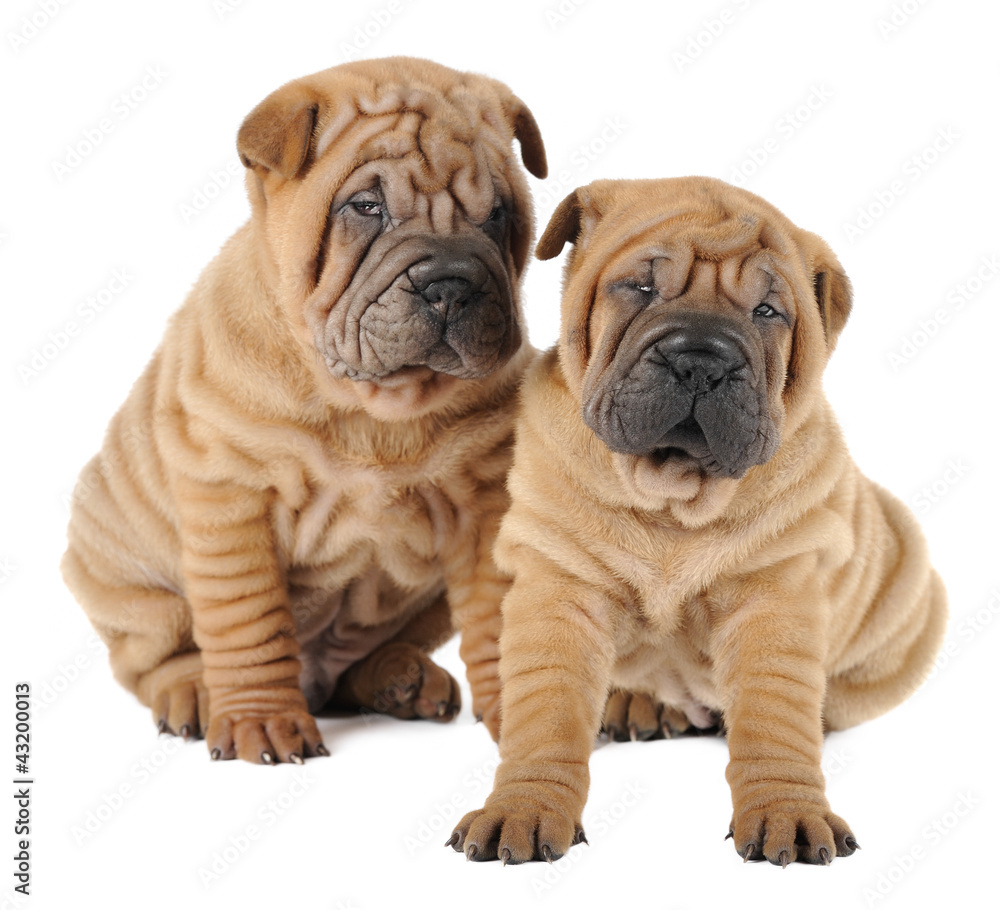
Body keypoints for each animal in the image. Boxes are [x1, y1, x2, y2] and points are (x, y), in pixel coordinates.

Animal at [60, 57, 548, 764]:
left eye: (498, 215)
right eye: (366, 208)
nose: (452, 283)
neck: (376, 405)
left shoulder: (485, 504)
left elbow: (499, 619)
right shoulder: (231, 499)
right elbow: (249, 623)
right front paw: (261, 721)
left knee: (356, 662)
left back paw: (401, 678)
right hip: (130, 587)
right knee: (160, 656)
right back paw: (195, 694)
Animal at [450, 178, 948, 868]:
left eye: (767, 312)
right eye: (640, 287)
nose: (701, 361)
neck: (673, 495)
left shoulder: (774, 600)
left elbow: (774, 720)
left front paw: (789, 812)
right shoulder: (560, 593)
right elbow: (545, 715)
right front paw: (522, 807)